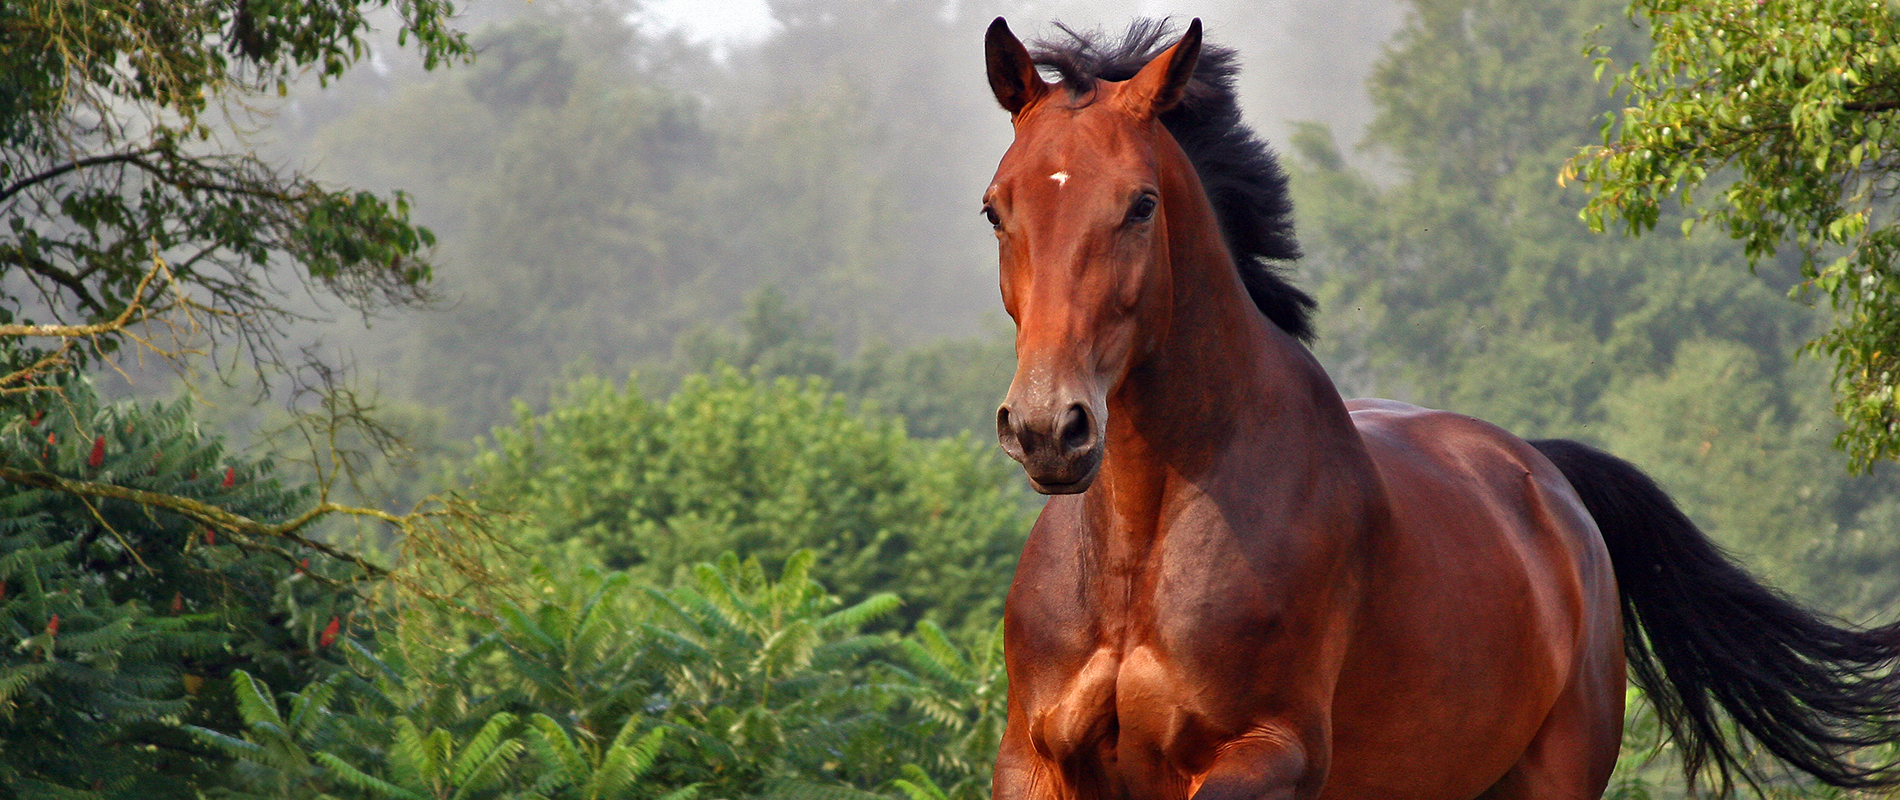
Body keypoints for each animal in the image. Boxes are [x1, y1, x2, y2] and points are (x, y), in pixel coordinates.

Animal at [988, 18, 1900, 798]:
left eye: (1141, 204)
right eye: (997, 208)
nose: (1048, 428)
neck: (1140, 551)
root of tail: (1547, 480)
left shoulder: (1272, 753)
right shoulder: (1034, 762)